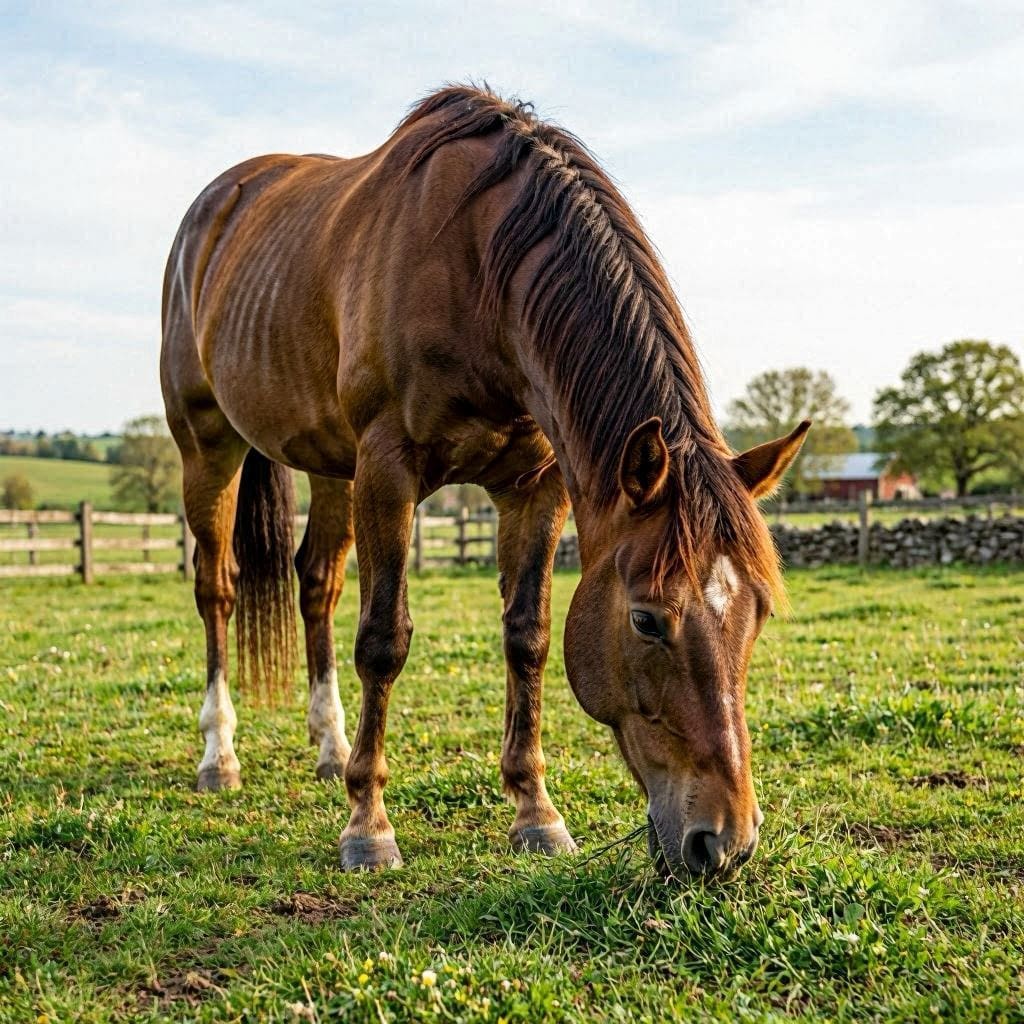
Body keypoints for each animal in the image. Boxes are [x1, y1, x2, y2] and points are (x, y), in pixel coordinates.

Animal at [161, 85, 808, 878]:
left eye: (758, 614)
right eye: (646, 620)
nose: (725, 842)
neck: (477, 275)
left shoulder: (536, 487)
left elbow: (527, 637)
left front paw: (536, 811)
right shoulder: (388, 468)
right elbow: (384, 639)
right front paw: (367, 824)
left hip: (330, 466)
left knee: (316, 584)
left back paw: (330, 747)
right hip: (208, 446)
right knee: (217, 589)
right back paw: (219, 754)